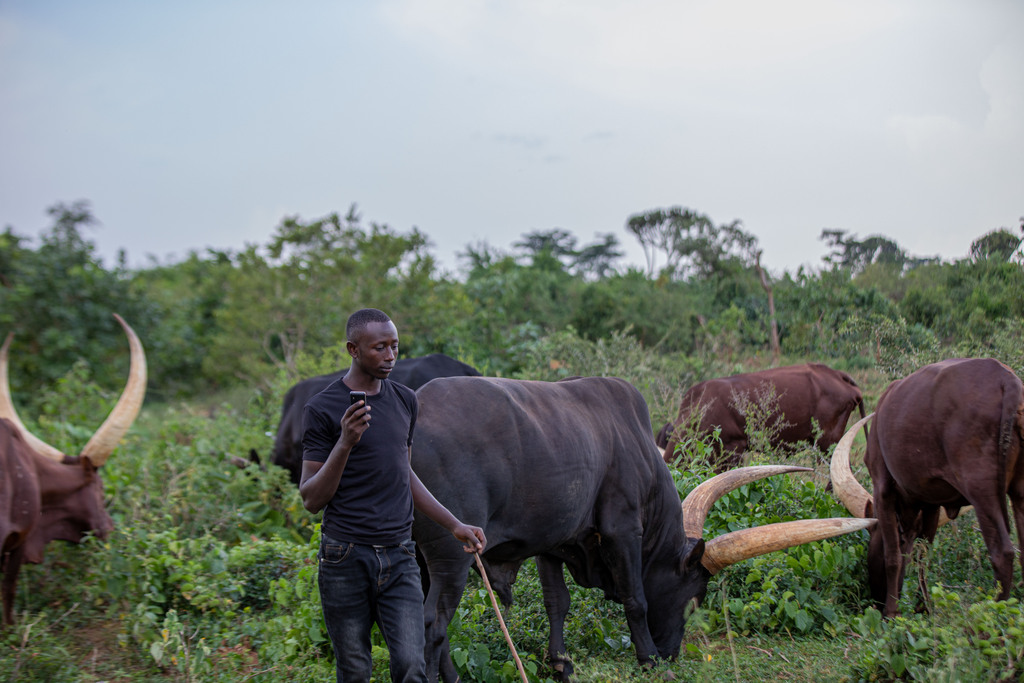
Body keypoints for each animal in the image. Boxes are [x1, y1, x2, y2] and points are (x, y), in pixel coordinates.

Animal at [411, 375, 875, 681]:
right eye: (695, 596)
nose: (671, 654)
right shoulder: (623, 531)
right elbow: (636, 599)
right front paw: (648, 657)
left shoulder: (553, 541)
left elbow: (557, 602)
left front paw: (560, 662)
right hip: (451, 556)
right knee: (432, 622)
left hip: (420, 556)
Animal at [831, 358, 1024, 616]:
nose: (877, 600)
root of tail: (1008, 381)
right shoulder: (931, 504)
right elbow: (923, 554)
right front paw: (923, 607)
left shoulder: (883, 490)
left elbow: (893, 556)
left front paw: (891, 613)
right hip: (1019, 492)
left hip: (983, 492)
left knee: (1003, 553)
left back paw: (995, 612)